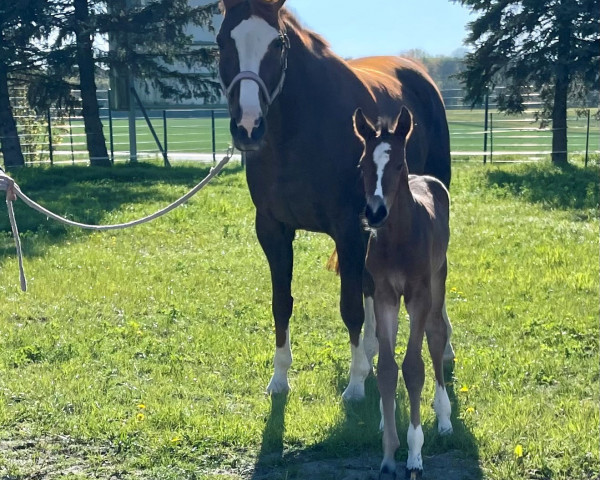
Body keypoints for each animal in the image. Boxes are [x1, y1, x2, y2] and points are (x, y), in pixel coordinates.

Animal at [218, 0, 452, 402]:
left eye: (278, 44)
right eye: (221, 41)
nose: (248, 126)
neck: (299, 133)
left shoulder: (349, 229)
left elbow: (350, 308)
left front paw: (356, 384)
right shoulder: (273, 230)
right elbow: (282, 303)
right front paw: (280, 378)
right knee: (371, 284)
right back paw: (374, 350)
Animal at [354, 106, 452, 480]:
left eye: (398, 164)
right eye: (362, 165)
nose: (375, 212)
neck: (397, 239)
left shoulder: (419, 295)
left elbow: (413, 367)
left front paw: (414, 453)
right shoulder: (383, 294)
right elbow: (386, 367)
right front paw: (388, 453)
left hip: (439, 277)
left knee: (437, 334)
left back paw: (444, 418)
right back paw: (386, 419)